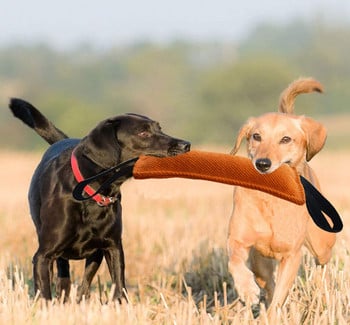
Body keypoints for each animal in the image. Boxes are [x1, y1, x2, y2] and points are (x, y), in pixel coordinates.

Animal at [9, 97, 190, 300]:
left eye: (159, 128)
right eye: (143, 133)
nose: (186, 145)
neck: (92, 193)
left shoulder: (113, 247)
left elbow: (119, 287)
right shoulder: (43, 256)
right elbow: (45, 293)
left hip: (96, 255)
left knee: (84, 283)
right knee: (64, 276)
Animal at [227, 77, 336, 318]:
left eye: (286, 139)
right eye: (256, 136)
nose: (262, 163)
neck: (272, 200)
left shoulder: (291, 255)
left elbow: (280, 296)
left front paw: (271, 317)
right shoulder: (239, 240)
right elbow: (235, 263)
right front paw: (247, 290)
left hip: (322, 244)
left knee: (323, 265)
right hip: (260, 262)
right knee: (266, 281)